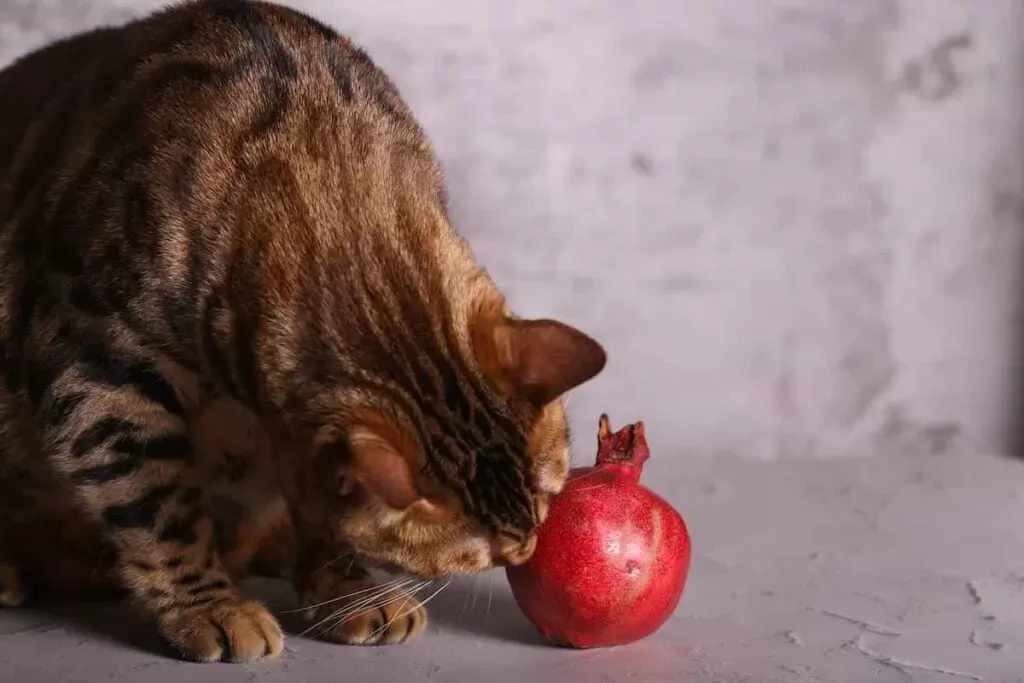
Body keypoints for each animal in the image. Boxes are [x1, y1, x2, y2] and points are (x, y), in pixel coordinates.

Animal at [0, 0, 606, 663]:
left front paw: (350, 590)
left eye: (547, 500)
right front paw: (210, 607)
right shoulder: (94, 363)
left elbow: (320, 510)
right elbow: (160, 506)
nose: (525, 548)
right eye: (479, 553)